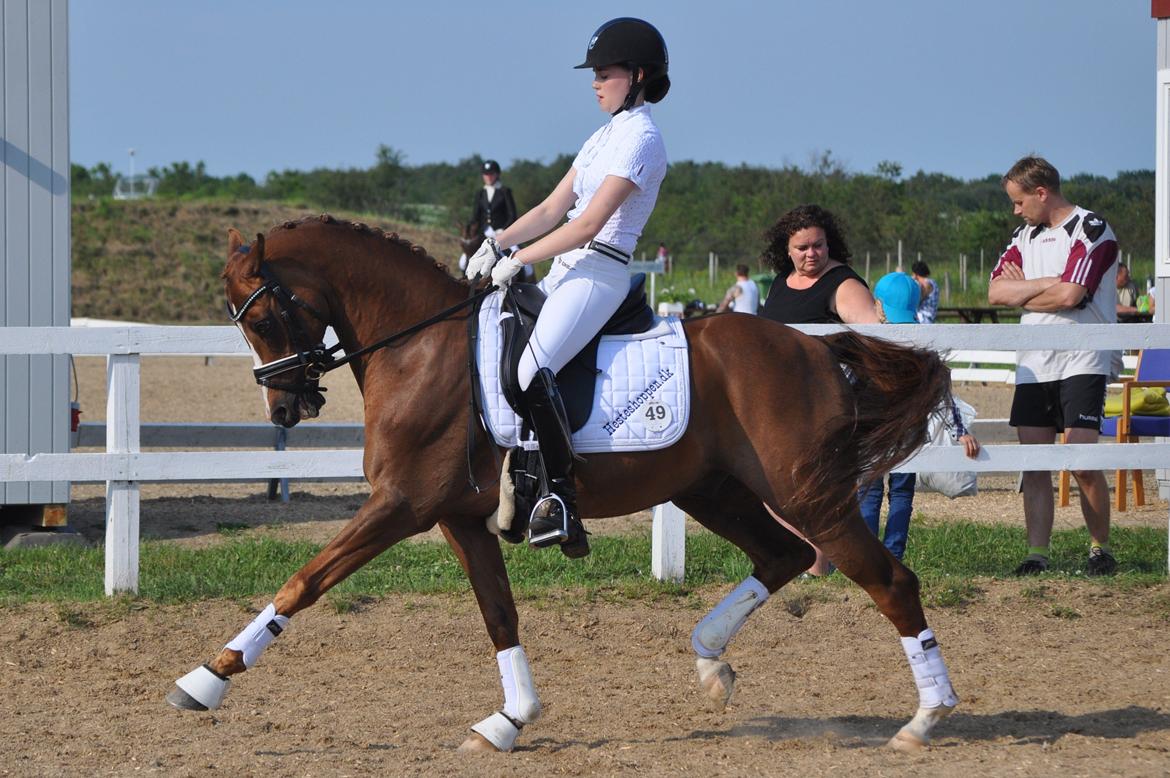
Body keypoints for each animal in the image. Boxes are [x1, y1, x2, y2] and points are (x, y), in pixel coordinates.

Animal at [167, 214, 959, 753]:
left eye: (266, 315)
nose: (284, 409)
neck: (419, 346)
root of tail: (818, 352)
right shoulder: (457, 518)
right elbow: (499, 615)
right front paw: (508, 721)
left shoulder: (401, 505)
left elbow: (305, 580)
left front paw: (208, 678)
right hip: (712, 489)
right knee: (783, 555)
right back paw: (711, 662)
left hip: (809, 497)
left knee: (890, 581)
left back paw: (924, 719)